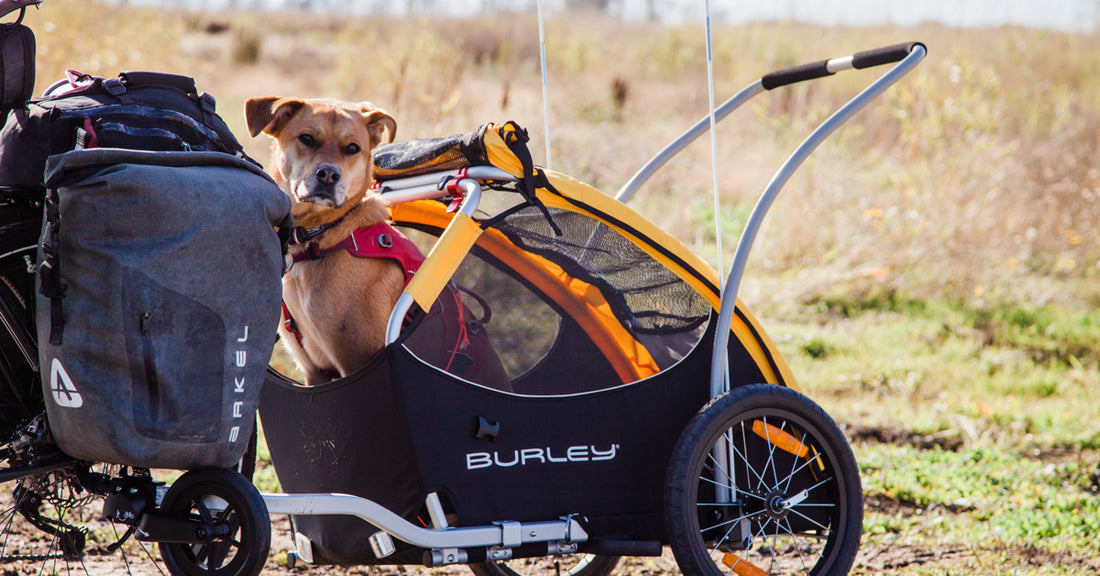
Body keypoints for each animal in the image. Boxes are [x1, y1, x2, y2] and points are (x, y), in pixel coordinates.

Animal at [245, 97, 510, 391]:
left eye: (352, 148)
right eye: (307, 138)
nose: (328, 175)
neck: (321, 237)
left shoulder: (358, 364)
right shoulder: (313, 372)